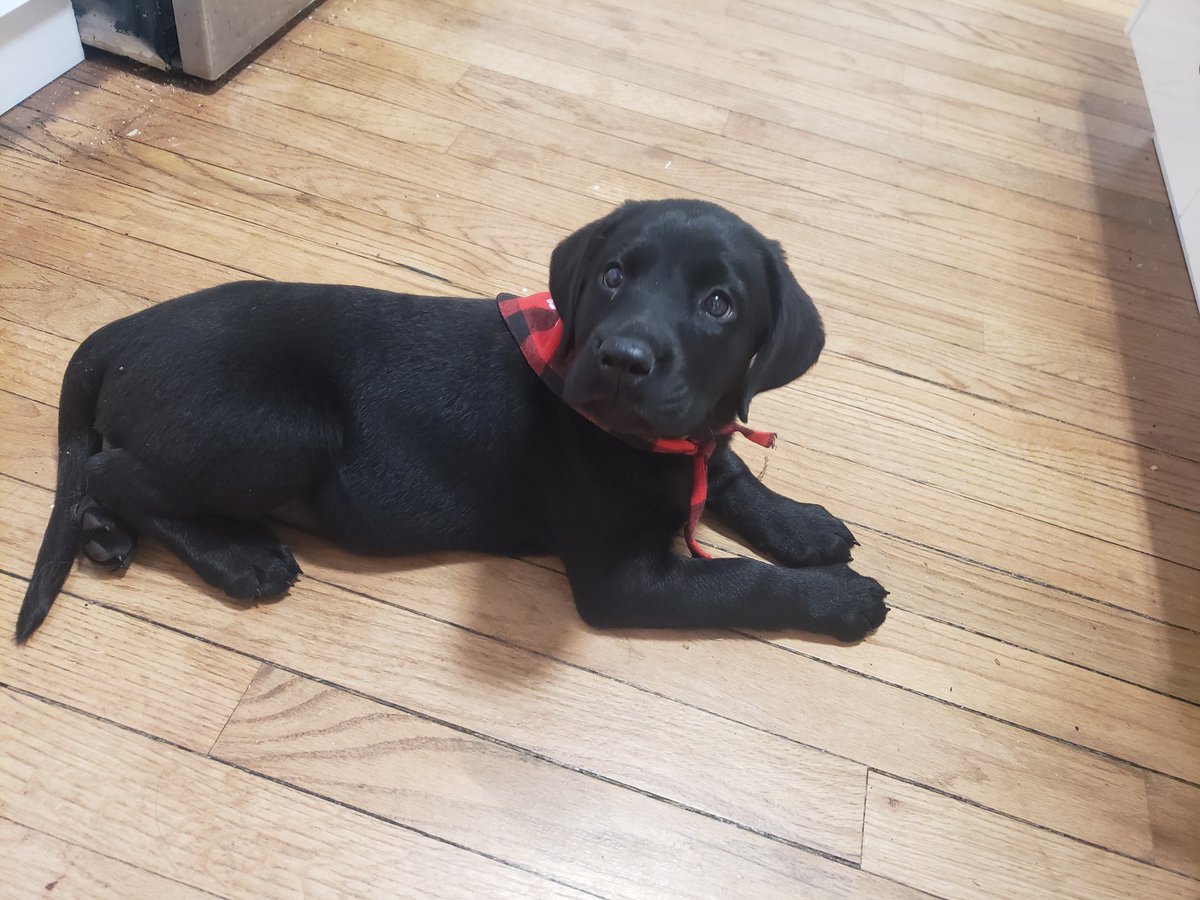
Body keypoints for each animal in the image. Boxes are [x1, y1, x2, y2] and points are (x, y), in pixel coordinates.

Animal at [14, 200, 888, 643]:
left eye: (719, 304)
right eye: (612, 276)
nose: (622, 358)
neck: (646, 441)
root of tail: (123, 333)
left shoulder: (697, 438)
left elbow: (729, 467)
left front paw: (802, 524)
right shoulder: (621, 579)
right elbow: (738, 581)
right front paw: (837, 600)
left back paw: (104, 536)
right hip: (286, 429)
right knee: (114, 469)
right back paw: (237, 558)